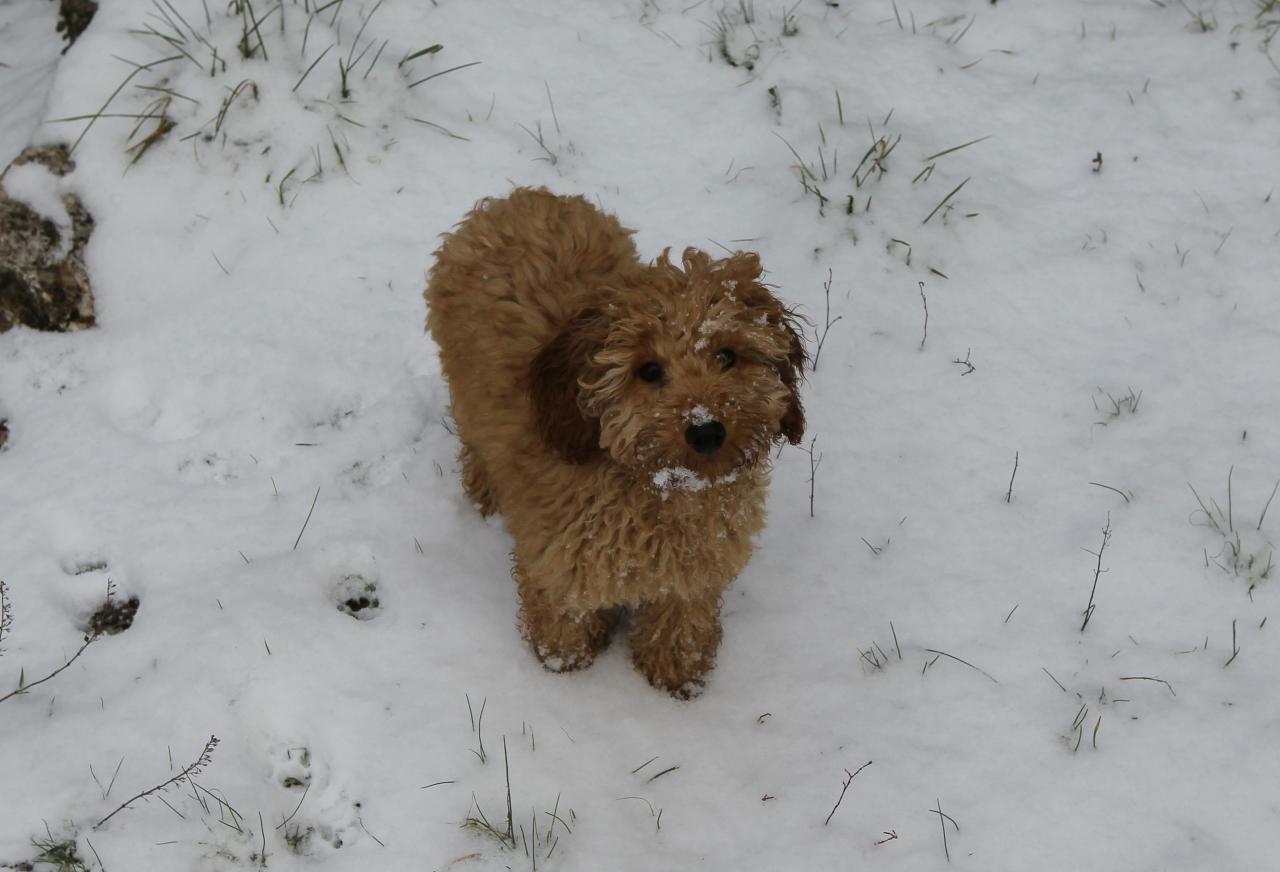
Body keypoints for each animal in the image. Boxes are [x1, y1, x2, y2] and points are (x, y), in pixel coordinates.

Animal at [424, 186, 803, 696]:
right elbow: (563, 618)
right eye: (648, 370)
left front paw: (676, 676)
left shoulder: (692, 574)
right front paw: (562, 664)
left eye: (727, 355)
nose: (706, 430)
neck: (658, 488)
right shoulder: (560, 563)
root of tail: (518, 197)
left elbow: (680, 622)